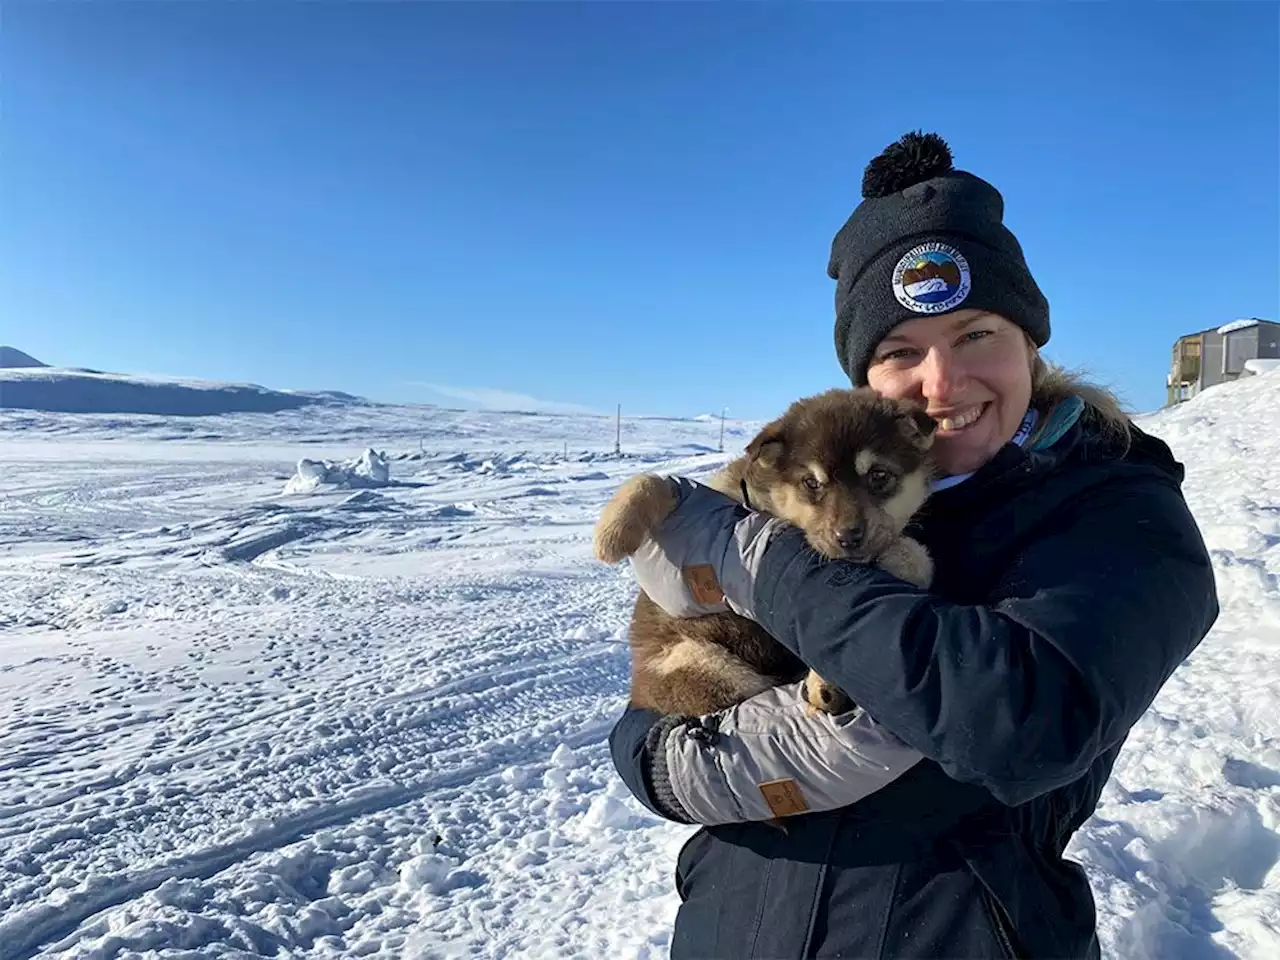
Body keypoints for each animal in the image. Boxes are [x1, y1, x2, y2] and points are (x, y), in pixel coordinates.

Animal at [593, 386, 936, 716]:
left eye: (879, 475)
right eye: (811, 482)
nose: (849, 537)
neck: (775, 508)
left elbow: (916, 556)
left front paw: (898, 559)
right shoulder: (720, 490)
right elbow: (655, 481)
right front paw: (610, 535)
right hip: (701, 661)